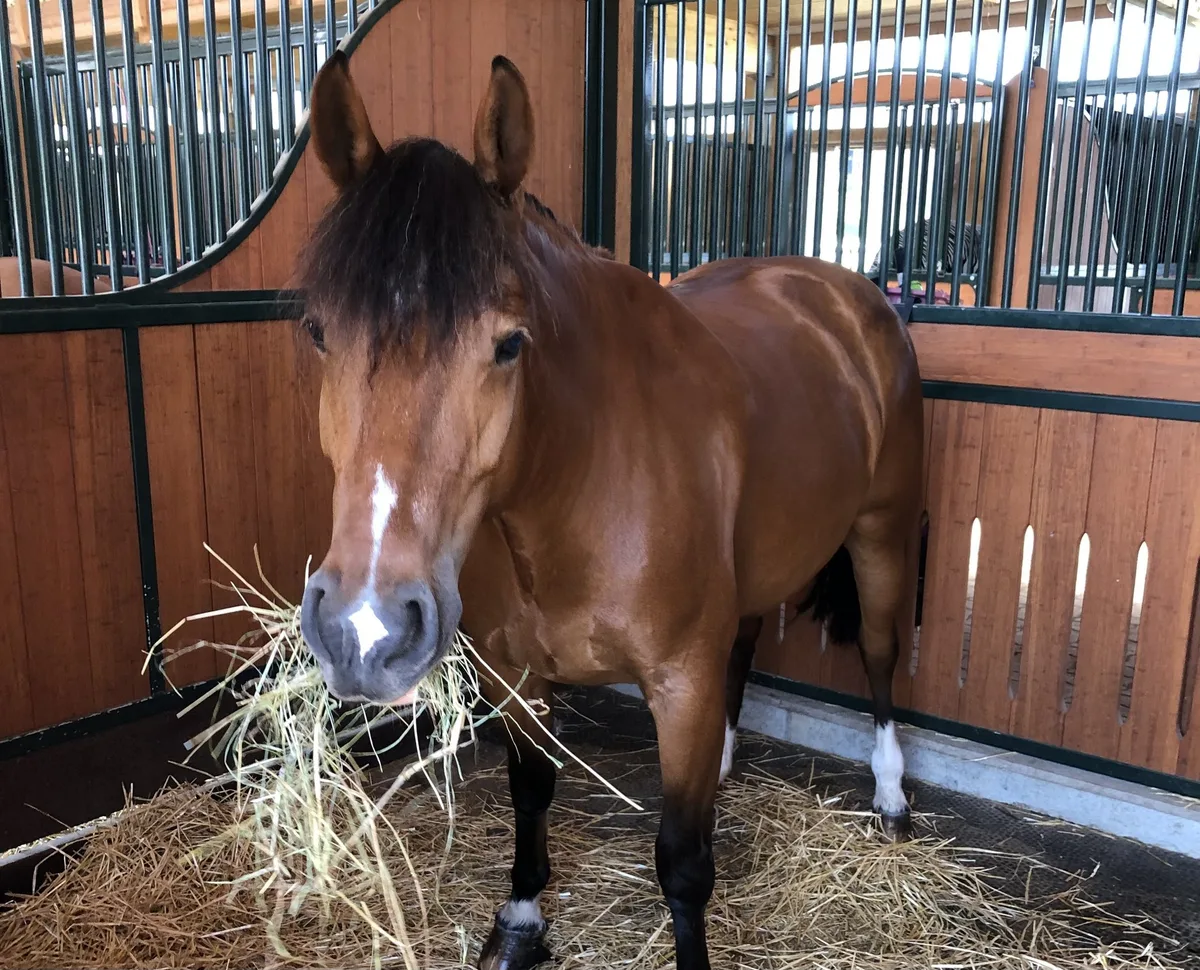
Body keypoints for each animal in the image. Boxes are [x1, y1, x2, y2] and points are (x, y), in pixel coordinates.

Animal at [297, 52, 924, 970]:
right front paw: (521, 921)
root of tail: (845, 292)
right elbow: (531, 791)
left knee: (879, 655)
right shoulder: (515, 673)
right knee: (746, 642)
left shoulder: (681, 676)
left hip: (882, 536)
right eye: (318, 331)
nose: (365, 629)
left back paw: (889, 793)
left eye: (509, 344)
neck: (578, 486)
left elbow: (682, 863)